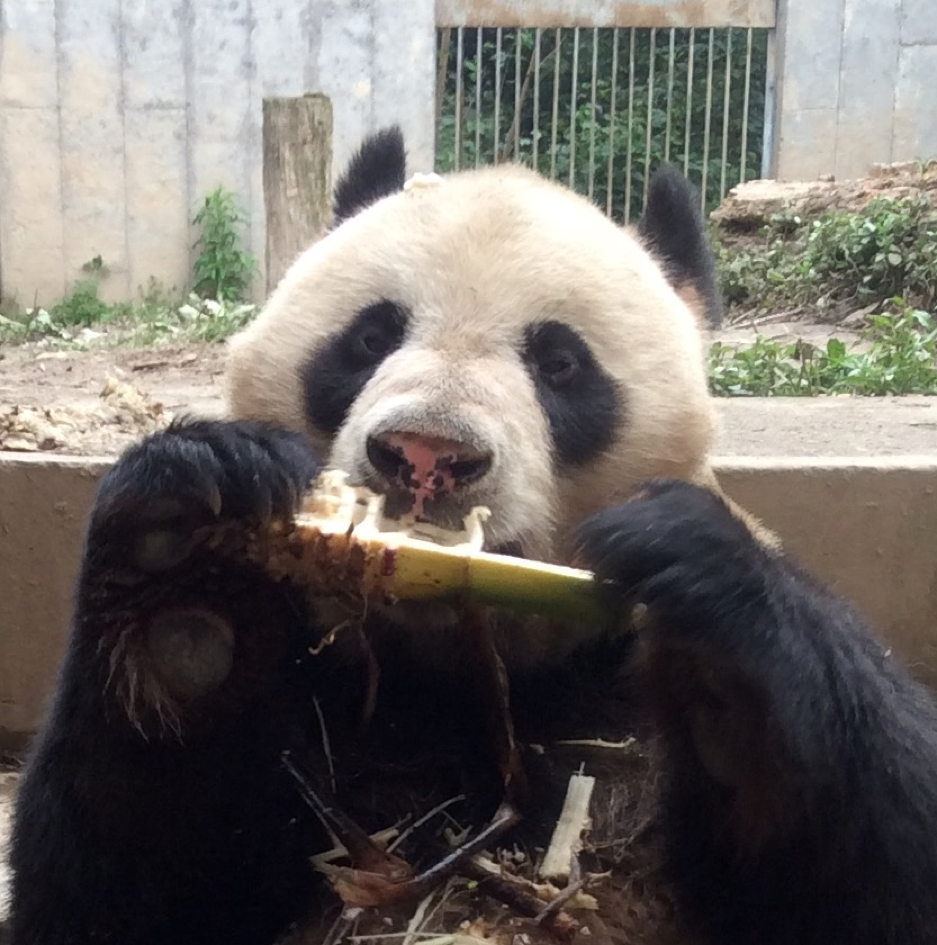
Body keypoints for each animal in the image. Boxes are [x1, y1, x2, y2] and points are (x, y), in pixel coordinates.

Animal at [7, 127, 936, 944]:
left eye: (559, 362)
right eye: (369, 336)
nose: (427, 455)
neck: (447, 675)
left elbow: (887, 866)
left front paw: (715, 649)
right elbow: (119, 887)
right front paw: (185, 567)